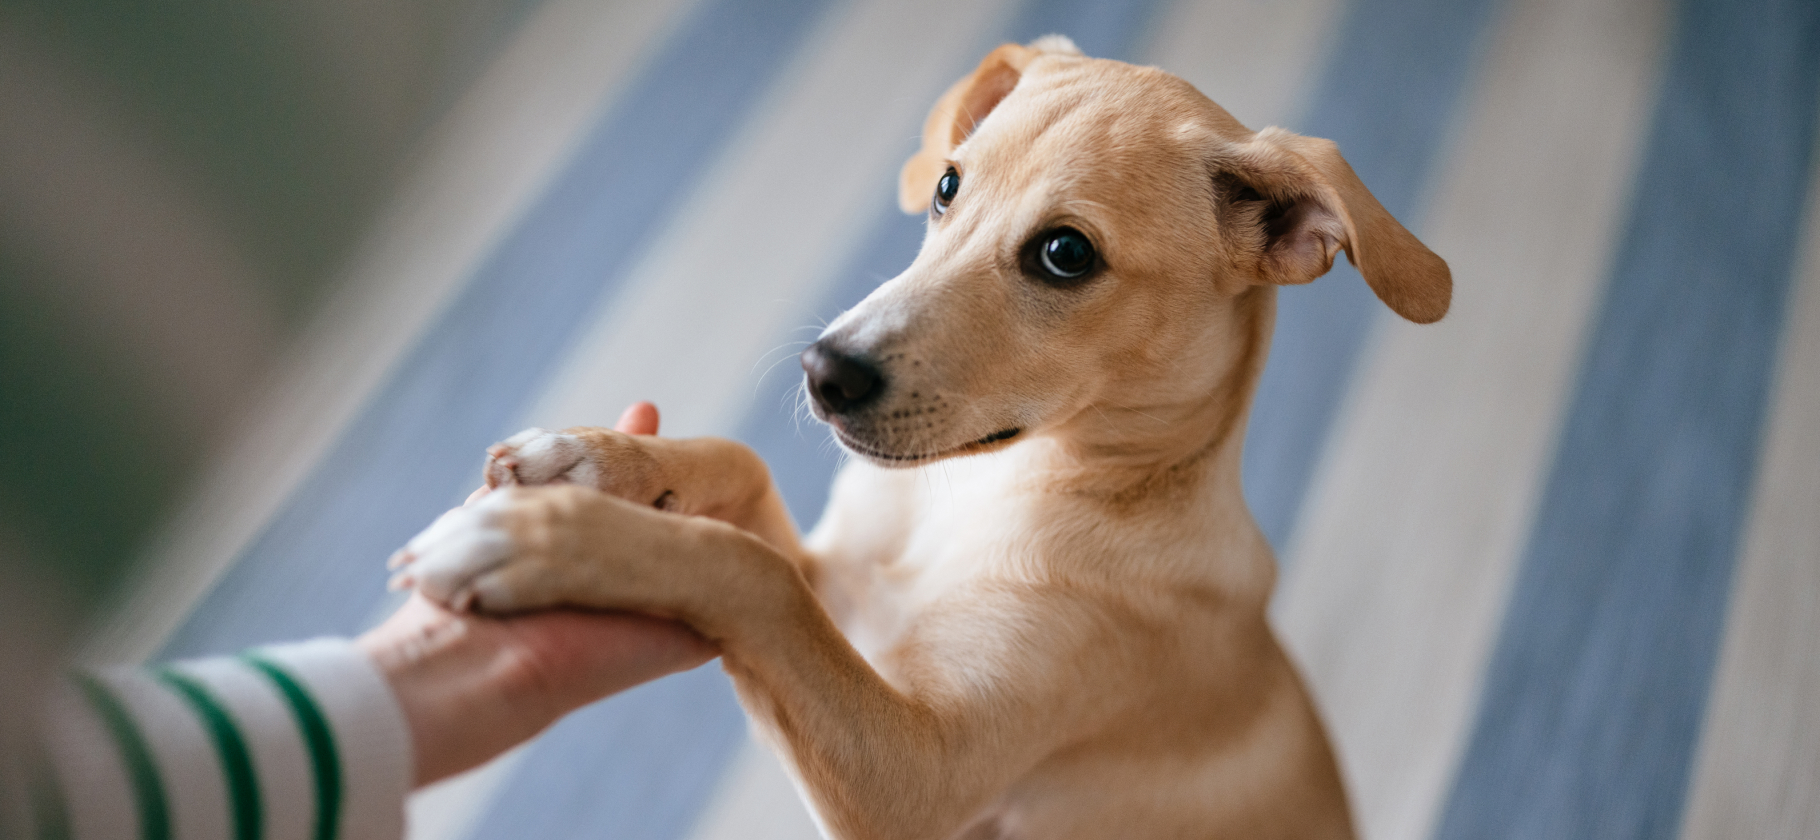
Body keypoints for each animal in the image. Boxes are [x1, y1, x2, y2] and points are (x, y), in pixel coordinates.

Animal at [387, 36, 1448, 836]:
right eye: (946, 186)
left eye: (1066, 254)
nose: (821, 373)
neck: (983, 497)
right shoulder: (843, 607)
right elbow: (744, 478)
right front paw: (593, 463)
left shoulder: (915, 778)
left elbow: (748, 572)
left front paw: (542, 541)